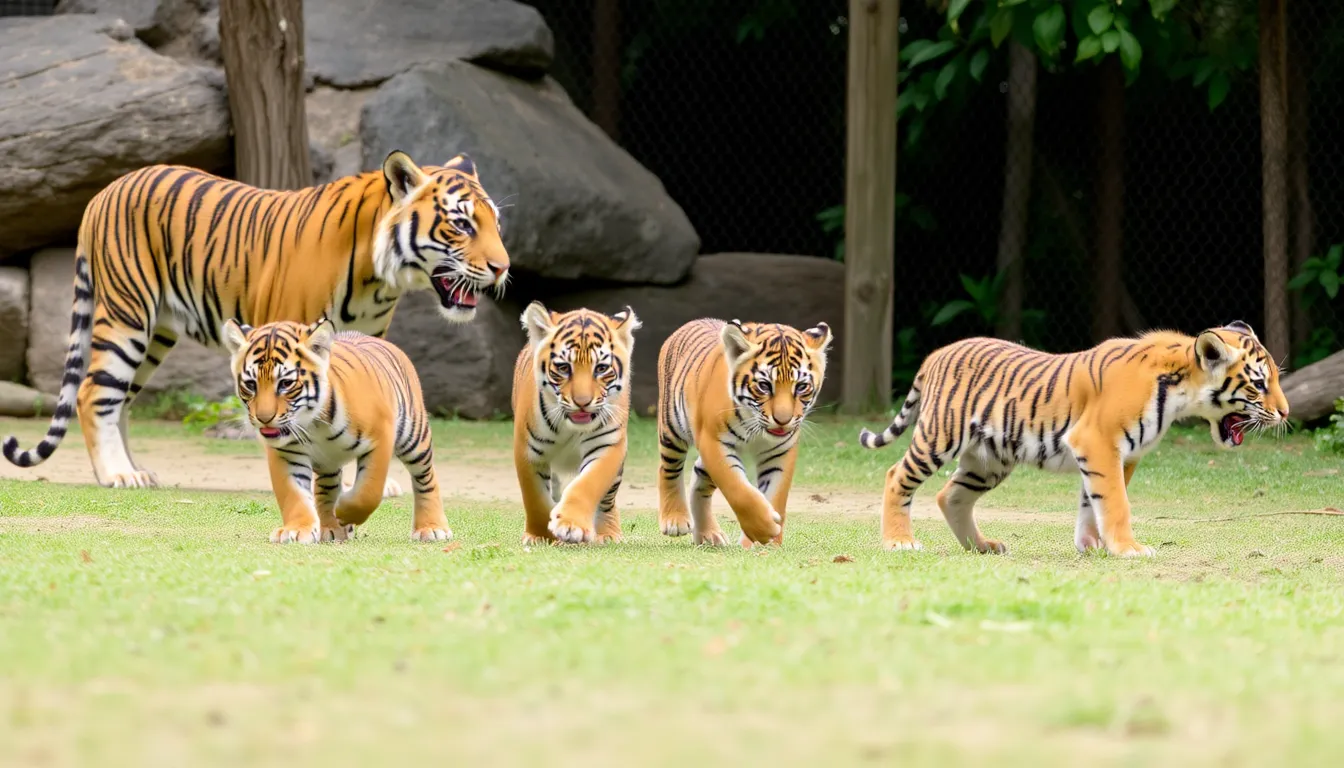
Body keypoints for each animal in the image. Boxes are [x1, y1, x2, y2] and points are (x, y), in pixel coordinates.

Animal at [2, 151, 508, 491]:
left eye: (496, 224)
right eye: (462, 225)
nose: (503, 268)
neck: (379, 277)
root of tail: (103, 192)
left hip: (156, 332)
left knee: (119, 399)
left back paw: (135, 469)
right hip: (128, 314)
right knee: (94, 392)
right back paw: (118, 475)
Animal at [221, 318, 451, 544]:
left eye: (286, 383)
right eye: (251, 384)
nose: (263, 418)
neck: (313, 424)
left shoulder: (381, 436)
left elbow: (369, 491)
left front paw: (345, 512)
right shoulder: (286, 453)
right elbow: (293, 493)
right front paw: (297, 529)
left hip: (414, 438)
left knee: (425, 479)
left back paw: (432, 528)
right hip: (328, 462)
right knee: (326, 489)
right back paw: (330, 528)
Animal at [511, 301, 640, 546]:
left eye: (601, 368)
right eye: (563, 368)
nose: (582, 402)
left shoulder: (607, 445)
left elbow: (588, 483)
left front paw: (571, 525)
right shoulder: (528, 450)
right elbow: (535, 498)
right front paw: (539, 535)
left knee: (607, 499)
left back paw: (609, 534)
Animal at [656, 318, 832, 548]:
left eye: (802, 387)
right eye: (764, 386)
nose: (783, 421)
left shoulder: (781, 452)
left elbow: (776, 495)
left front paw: (766, 543)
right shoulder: (713, 441)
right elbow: (737, 489)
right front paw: (763, 530)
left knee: (698, 477)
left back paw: (708, 534)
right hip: (672, 429)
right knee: (668, 469)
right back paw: (674, 520)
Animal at [857, 321, 1290, 557]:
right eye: (1259, 384)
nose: (1286, 413)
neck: (1180, 390)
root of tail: (936, 354)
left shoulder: (1119, 455)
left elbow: (1092, 502)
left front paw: (1092, 546)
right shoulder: (1099, 443)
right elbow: (1115, 503)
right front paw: (1129, 549)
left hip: (989, 460)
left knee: (951, 495)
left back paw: (982, 547)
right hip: (940, 436)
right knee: (897, 476)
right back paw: (900, 542)